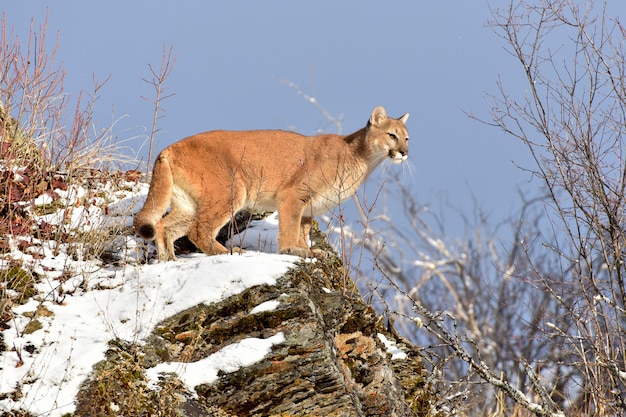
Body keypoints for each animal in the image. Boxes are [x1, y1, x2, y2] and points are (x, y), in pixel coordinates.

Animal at [133, 105, 408, 258]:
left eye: (407, 138)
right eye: (392, 135)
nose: (405, 153)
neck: (361, 158)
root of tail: (169, 148)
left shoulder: (309, 207)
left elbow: (301, 229)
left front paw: (308, 250)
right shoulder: (293, 194)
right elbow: (289, 226)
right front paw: (292, 250)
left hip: (188, 203)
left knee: (164, 226)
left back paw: (168, 261)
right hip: (232, 190)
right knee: (197, 231)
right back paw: (229, 252)